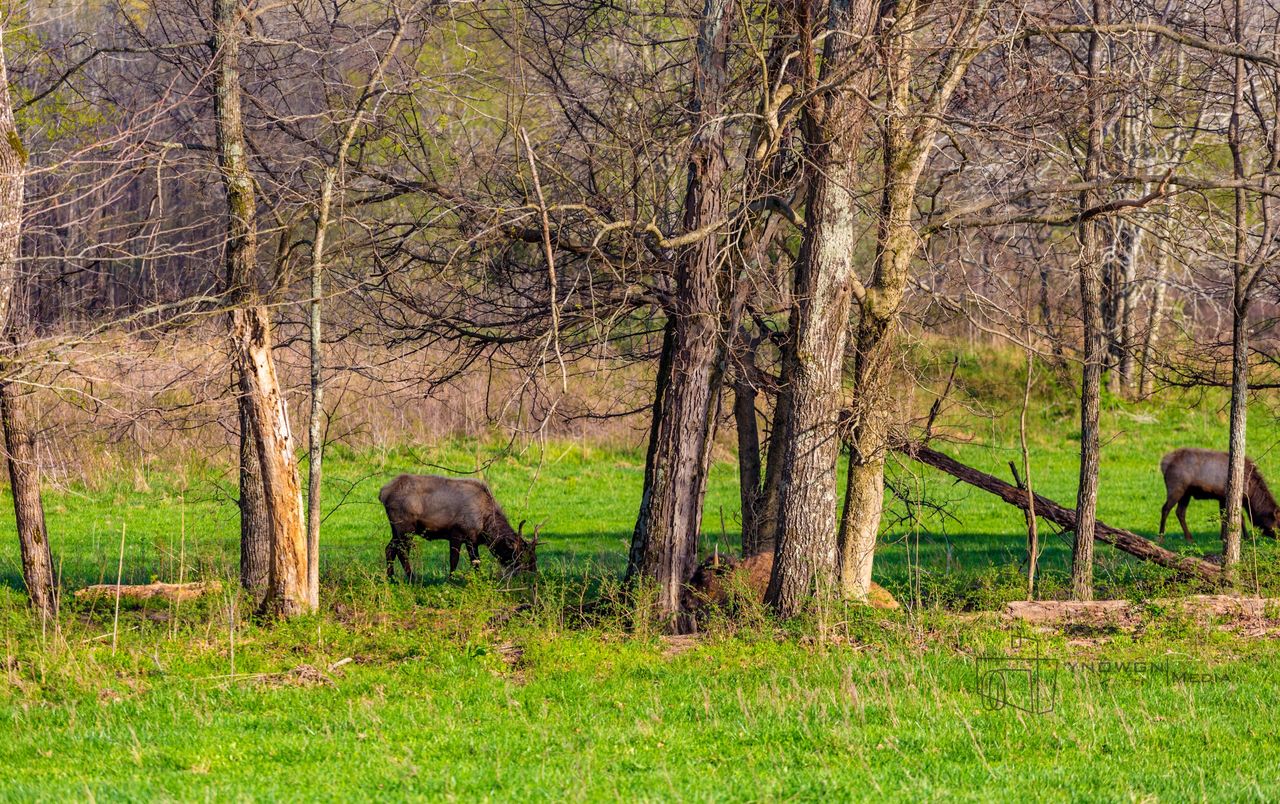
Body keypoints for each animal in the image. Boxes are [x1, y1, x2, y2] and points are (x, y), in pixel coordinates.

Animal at [378, 473, 540, 581]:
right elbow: (456, 561)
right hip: (406, 528)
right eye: (521, 556)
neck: (485, 526)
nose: (533, 576)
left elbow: (475, 562)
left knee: (389, 549)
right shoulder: (457, 534)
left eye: (535, 557)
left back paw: (391, 578)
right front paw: (452, 580)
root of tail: (383, 494)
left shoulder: (472, 540)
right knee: (402, 551)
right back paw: (412, 578)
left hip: (396, 530)